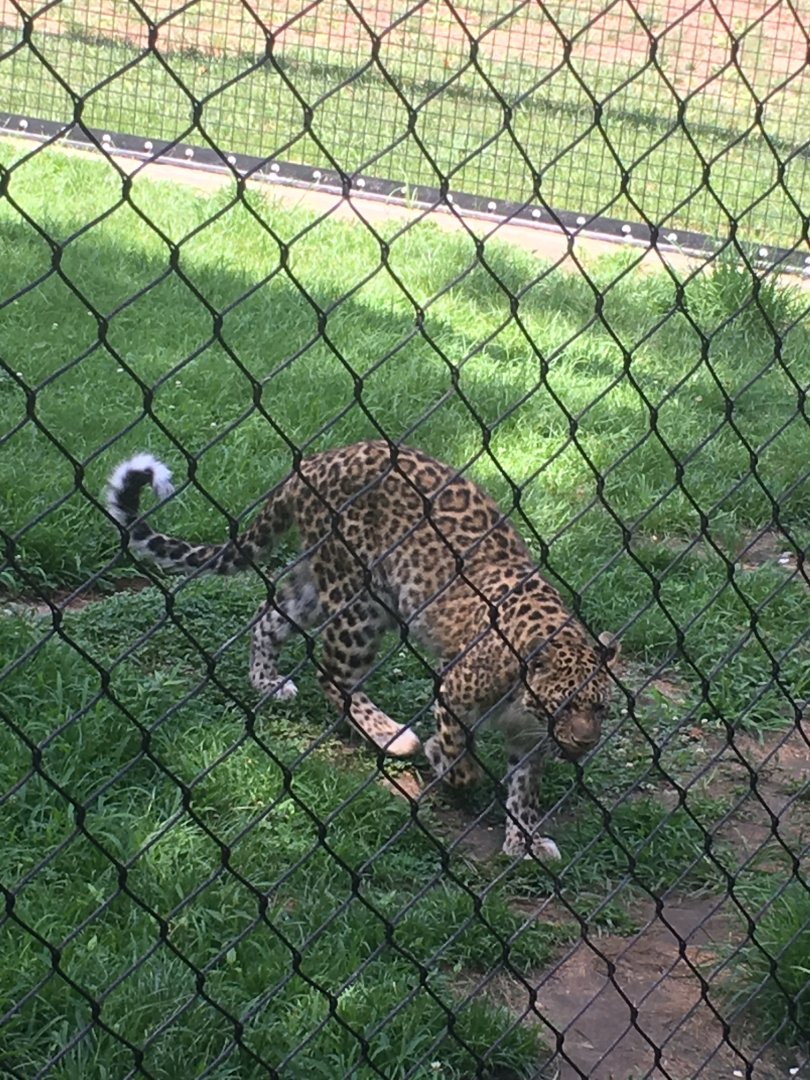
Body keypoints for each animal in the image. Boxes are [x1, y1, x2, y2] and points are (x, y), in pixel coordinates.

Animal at [106, 440, 619, 861]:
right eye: (562, 704)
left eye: (601, 709)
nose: (585, 742)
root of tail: (314, 462)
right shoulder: (455, 687)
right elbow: (462, 763)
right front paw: (439, 757)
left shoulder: (528, 740)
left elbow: (524, 789)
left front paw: (525, 839)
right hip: (361, 601)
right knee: (332, 674)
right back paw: (391, 735)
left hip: (318, 586)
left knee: (268, 615)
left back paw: (267, 683)